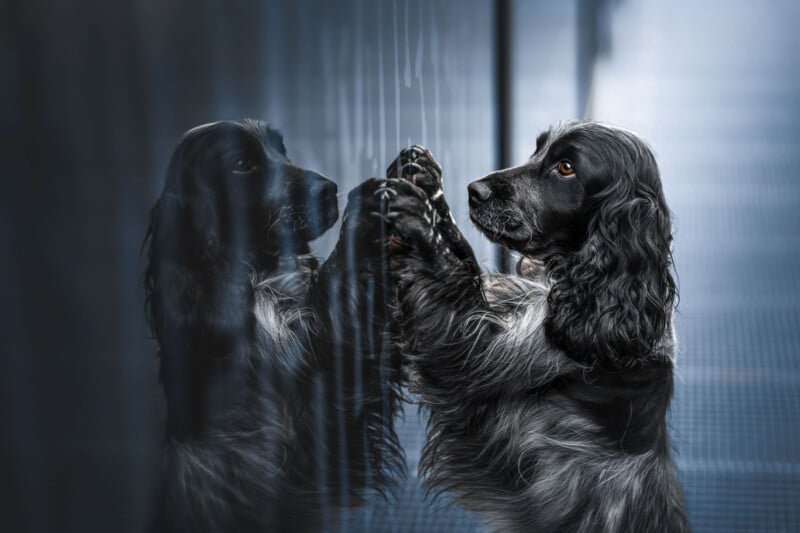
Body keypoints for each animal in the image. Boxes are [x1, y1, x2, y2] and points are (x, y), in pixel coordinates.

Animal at [143, 120, 404, 532]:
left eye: (282, 151)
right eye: (241, 164)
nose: (329, 189)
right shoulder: (311, 408)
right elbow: (340, 287)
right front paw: (364, 211)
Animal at [380, 120, 688, 532]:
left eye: (566, 167)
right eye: (536, 150)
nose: (475, 191)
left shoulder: (474, 352)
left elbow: (450, 282)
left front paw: (418, 218)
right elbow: (464, 264)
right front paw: (425, 179)